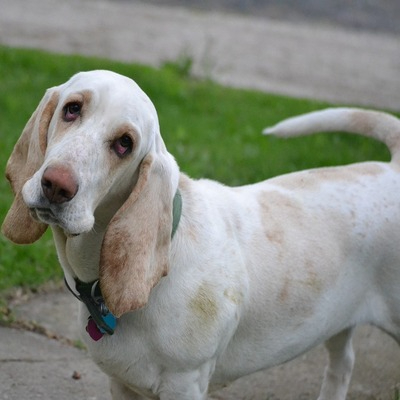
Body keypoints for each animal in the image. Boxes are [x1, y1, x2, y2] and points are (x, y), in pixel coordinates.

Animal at [3, 70, 400, 398]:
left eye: (124, 144)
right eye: (72, 109)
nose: (56, 185)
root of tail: (393, 168)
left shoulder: (185, 384)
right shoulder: (122, 384)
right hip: (336, 323)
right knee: (343, 362)